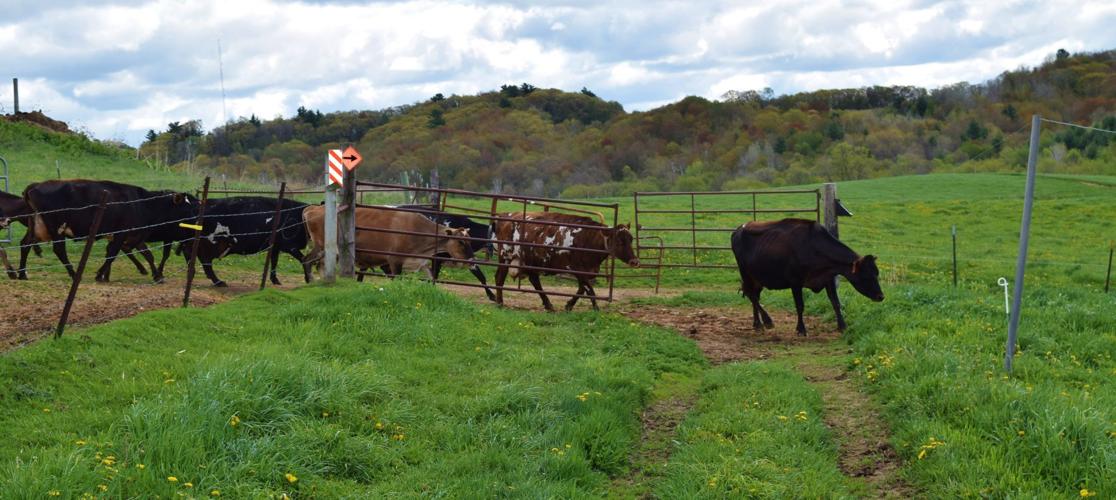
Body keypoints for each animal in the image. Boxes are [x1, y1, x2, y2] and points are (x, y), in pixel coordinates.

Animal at [24, 180, 197, 283]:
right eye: (186, 207)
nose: (196, 218)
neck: (142, 204)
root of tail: (35, 185)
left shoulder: (131, 235)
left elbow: (146, 254)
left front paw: (156, 275)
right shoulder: (121, 233)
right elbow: (113, 254)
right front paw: (100, 275)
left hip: (36, 225)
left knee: (25, 244)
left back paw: (21, 273)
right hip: (56, 228)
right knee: (59, 250)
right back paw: (73, 274)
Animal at [177, 196, 312, 287]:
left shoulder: (275, 246)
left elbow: (274, 261)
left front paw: (275, 280)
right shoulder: (290, 245)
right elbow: (304, 259)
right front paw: (308, 279)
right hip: (206, 243)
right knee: (202, 260)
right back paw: (216, 281)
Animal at [302, 204, 475, 279]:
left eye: (470, 240)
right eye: (460, 242)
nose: (473, 262)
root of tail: (313, 208)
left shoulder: (421, 263)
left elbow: (431, 278)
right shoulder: (394, 261)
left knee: (316, 264)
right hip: (323, 246)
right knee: (308, 260)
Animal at [493, 212, 639, 312]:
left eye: (631, 239)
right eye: (619, 241)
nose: (635, 261)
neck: (587, 238)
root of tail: (506, 218)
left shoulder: (587, 272)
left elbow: (582, 289)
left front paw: (569, 305)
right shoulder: (577, 269)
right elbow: (589, 289)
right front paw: (596, 309)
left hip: (530, 261)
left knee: (535, 281)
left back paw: (548, 305)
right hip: (505, 257)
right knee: (499, 278)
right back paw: (499, 303)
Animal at [730, 218, 884, 336]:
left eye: (877, 274)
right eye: (867, 276)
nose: (881, 296)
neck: (813, 247)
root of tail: (739, 229)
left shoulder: (828, 278)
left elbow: (835, 302)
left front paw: (842, 326)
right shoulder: (795, 282)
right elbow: (800, 306)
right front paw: (801, 329)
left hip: (758, 278)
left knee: (753, 296)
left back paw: (757, 324)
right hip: (745, 272)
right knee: (752, 295)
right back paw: (767, 321)